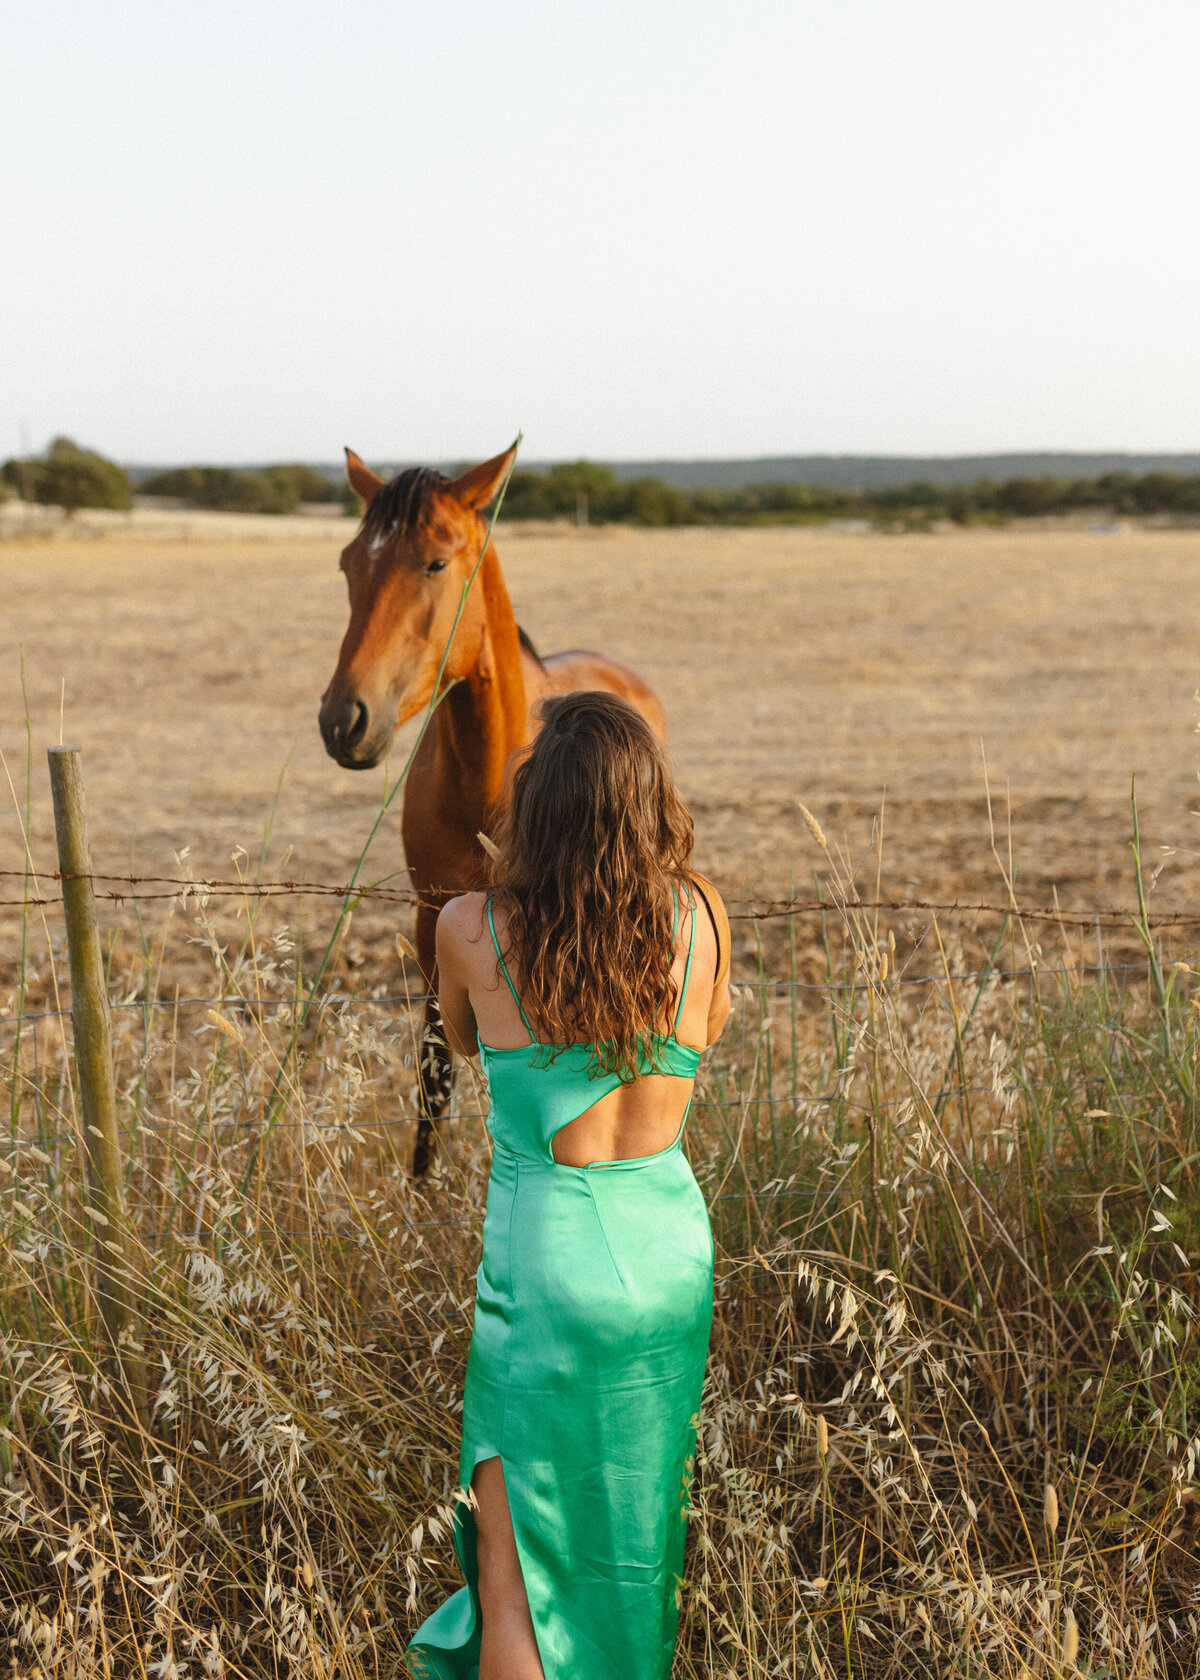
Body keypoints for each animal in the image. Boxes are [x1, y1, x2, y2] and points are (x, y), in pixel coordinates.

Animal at [317, 446, 662, 1176]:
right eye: (348, 563)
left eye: (435, 563)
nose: (342, 721)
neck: (491, 777)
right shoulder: (432, 923)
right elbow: (435, 1076)